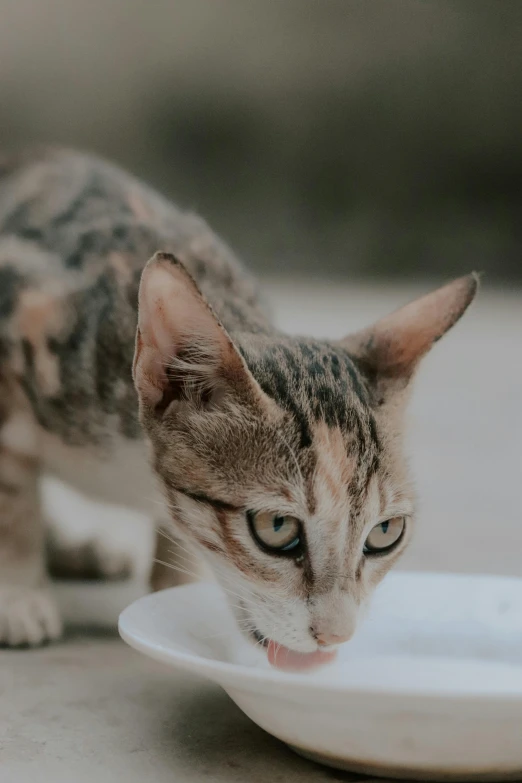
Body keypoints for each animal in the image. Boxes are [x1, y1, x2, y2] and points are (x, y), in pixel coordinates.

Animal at [0, 149, 476, 668]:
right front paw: (19, 595)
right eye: (276, 527)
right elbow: (14, 501)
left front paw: (174, 591)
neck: (133, 465)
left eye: (386, 532)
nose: (336, 634)